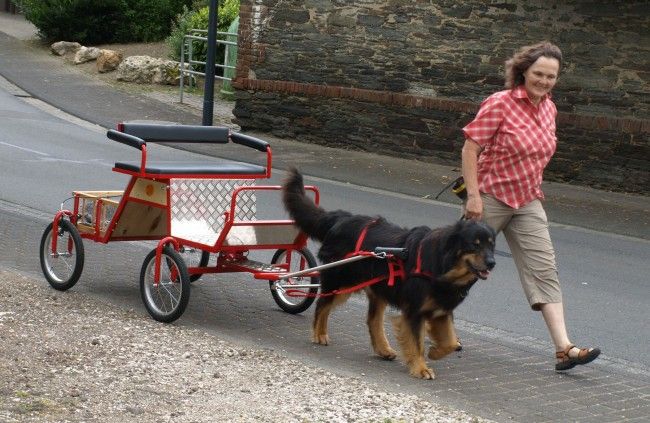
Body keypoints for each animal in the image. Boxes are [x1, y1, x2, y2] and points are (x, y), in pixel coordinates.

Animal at [280, 169, 494, 380]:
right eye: (475, 245)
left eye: (491, 245)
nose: (492, 263)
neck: (443, 265)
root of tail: (342, 218)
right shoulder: (414, 310)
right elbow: (417, 342)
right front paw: (420, 368)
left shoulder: (441, 309)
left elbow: (450, 341)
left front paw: (434, 352)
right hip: (344, 282)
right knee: (322, 304)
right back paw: (319, 333)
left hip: (378, 287)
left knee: (372, 319)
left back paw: (383, 349)